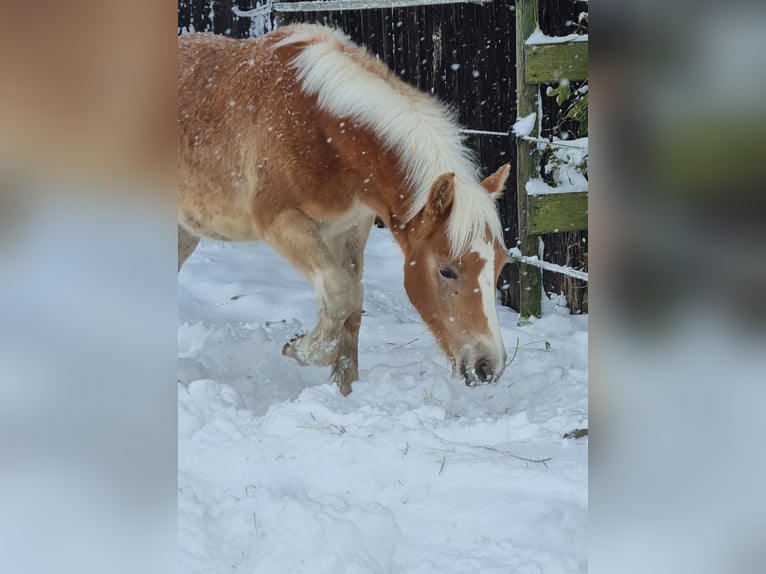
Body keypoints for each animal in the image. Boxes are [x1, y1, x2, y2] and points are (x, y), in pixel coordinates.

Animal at [179, 24, 512, 398]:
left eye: (500, 264)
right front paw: (300, 349)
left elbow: (353, 305)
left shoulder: (351, 227)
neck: (316, 124)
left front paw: (345, 391)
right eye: (447, 270)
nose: (488, 368)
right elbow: (340, 293)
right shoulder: (281, 223)